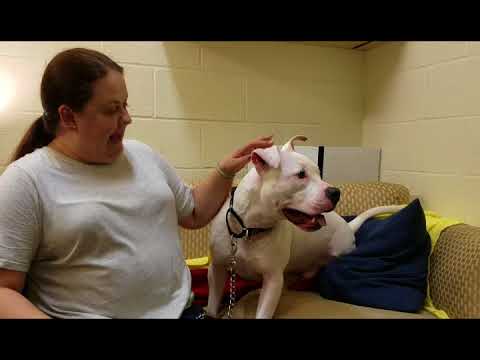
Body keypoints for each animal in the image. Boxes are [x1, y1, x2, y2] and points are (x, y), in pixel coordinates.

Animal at [207, 135, 404, 318]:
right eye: (301, 174)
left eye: (319, 172)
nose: (336, 192)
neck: (249, 230)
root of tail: (347, 226)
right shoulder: (216, 269)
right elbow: (212, 304)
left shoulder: (273, 280)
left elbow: (263, 313)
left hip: (339, 252)